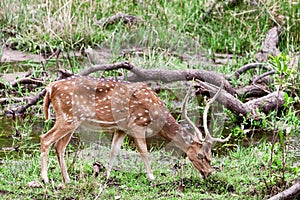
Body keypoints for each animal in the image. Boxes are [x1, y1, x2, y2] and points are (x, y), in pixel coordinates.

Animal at [41, 75, 230, 183]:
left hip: (72, 121)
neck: (155, 113)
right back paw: (45, 179)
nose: (208, 173)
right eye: (201, 155)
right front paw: (152, 177)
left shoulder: (121, 128)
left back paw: (67, 180)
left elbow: (114, 150)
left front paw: (106, 175)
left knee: (59, 146)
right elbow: (144, 151)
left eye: (211, 156)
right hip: (68, 117)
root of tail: (50, 88)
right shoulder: (137, 124)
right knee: (45, 139)